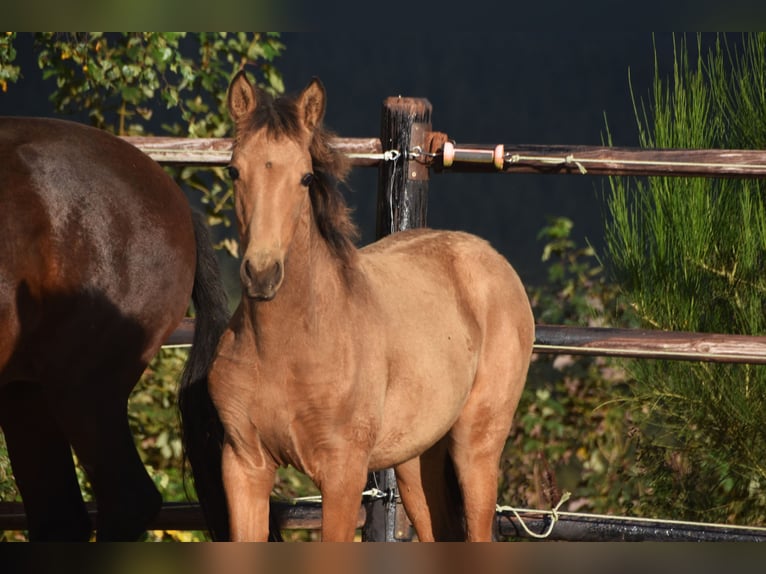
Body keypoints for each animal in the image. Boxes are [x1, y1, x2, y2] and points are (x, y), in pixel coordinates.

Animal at [185, 73, 536, 544]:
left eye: (306, 177)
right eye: (234, 170)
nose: (262, 274)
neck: (291, 347)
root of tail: (492, 260)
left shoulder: (342, 473)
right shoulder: (245, 465)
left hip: (476, 446)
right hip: (415, 460)